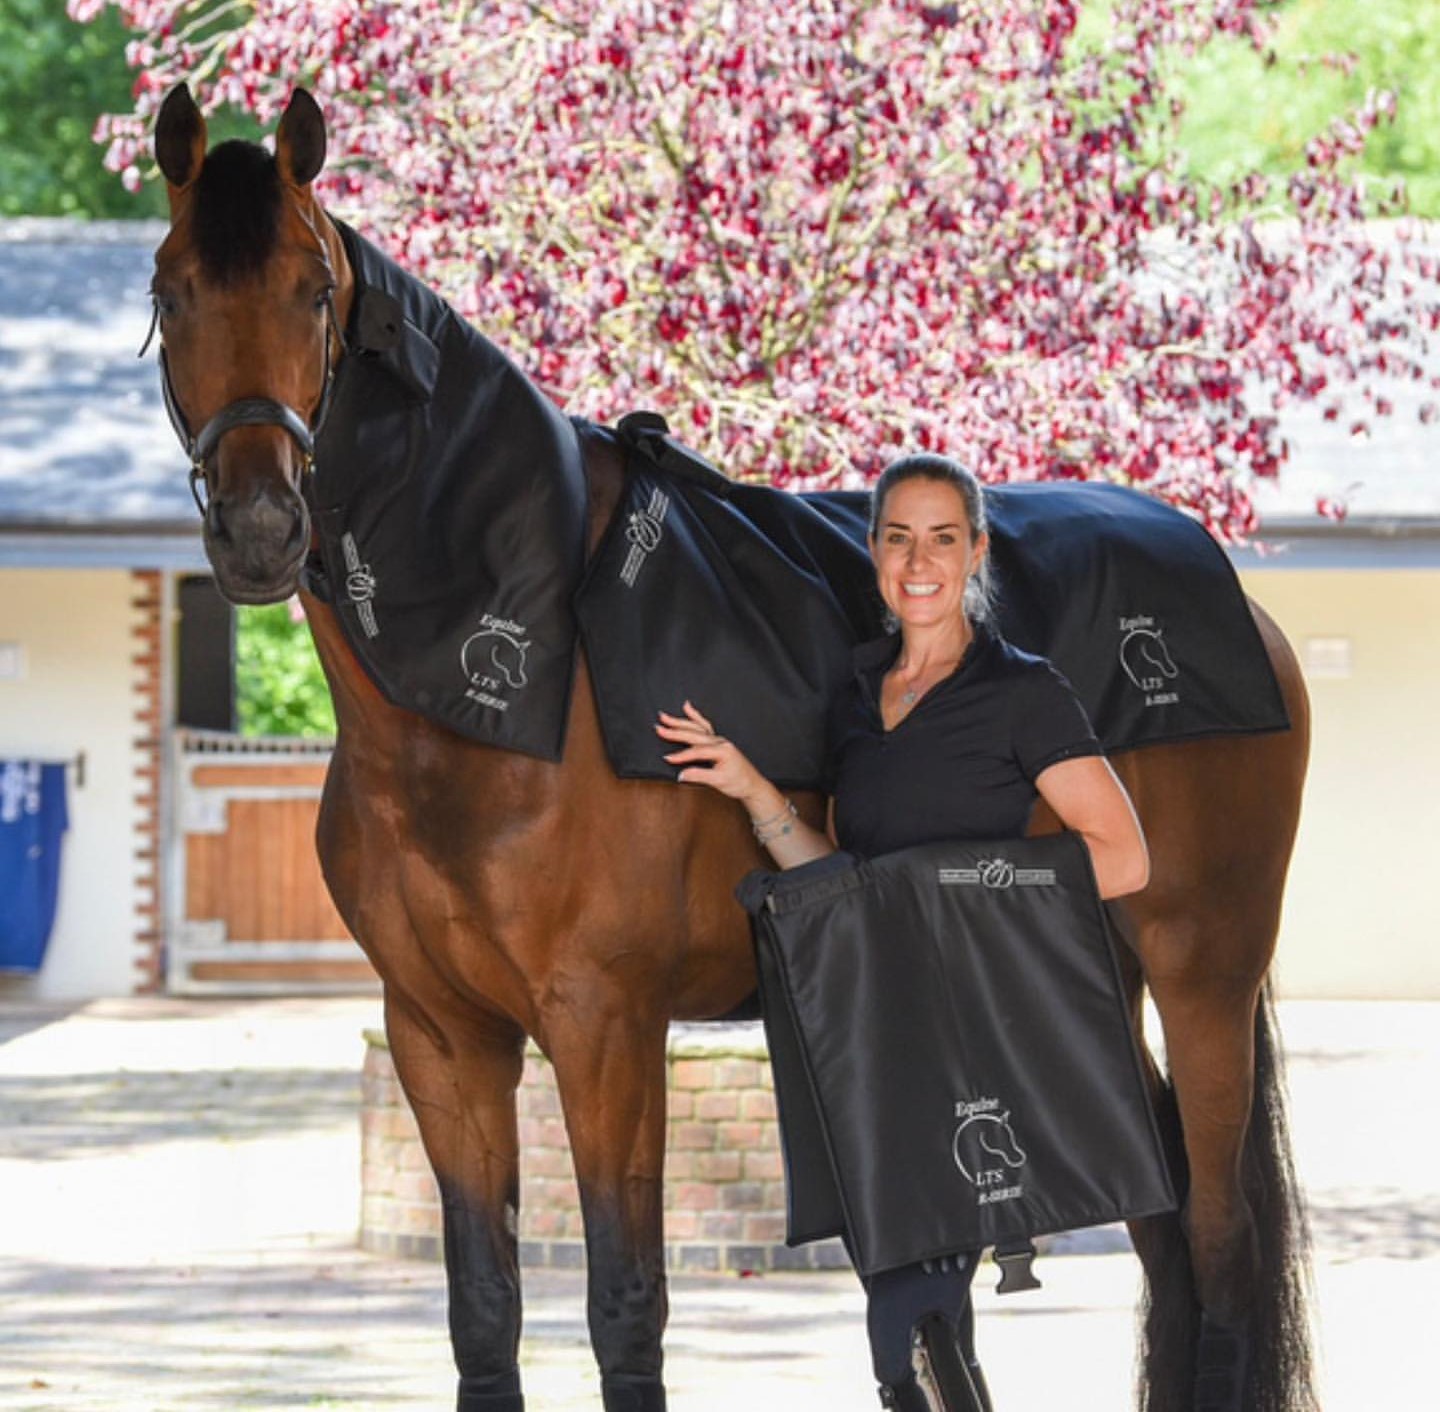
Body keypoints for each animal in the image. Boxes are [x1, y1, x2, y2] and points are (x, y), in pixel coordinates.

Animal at [147, 85, 1316, 1412]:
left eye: (312, 292)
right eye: (172, 292)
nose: (258, 527)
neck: (504, 688)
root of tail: (1241, 608)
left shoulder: (606, 1027)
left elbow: (624, 1303)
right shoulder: (442, 1037)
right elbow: (484, 1308)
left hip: (1203, 972)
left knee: (1218, 1239)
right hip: (1091, 977)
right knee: (1164, 1227)